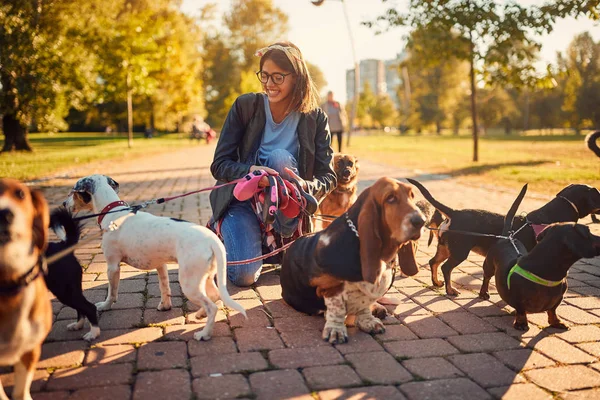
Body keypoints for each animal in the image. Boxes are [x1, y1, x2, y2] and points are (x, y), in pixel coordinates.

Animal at [63, 173, 244, 340]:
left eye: (72, 192)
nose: (64, 204)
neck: (113, 213)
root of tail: (212, 239)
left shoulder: (112, 266)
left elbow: (112, 292)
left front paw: (105, 306)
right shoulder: (160, 265)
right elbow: (164, 287)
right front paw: (165, 305)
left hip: (189, 282)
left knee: (212, 306)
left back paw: (204, 334)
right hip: (204, 277)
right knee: (215, 297)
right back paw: (201, 314)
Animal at [408, 180, 600, 296]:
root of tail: (454, 213)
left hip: (446, 247)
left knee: (434, 262)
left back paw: (436, 282)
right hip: (460, 251)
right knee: (446, 268)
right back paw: (450, 290)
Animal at [480, 191, 600, 332]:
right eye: (589, 233)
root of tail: (506, 237)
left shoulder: (558, 298)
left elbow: (553, 310)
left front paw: (556, 322)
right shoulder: (518, 300)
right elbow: (521, 310)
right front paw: (521, 323)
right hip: (489, 266)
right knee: (486, 278)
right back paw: (483, 293)